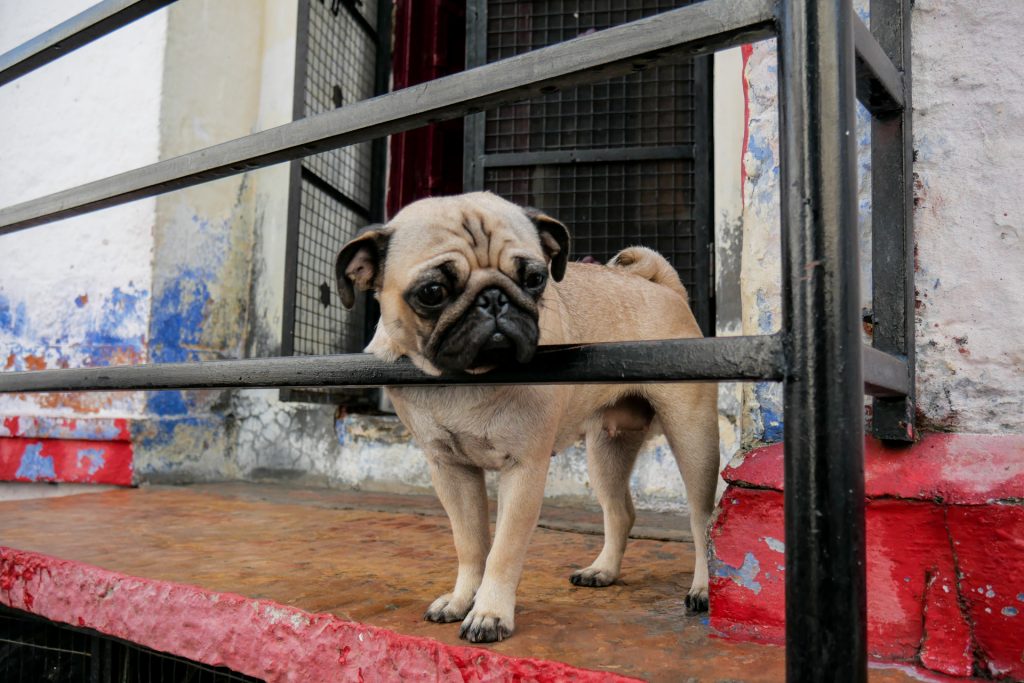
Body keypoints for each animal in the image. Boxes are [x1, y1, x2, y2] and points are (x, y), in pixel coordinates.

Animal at [337, 193, 720, 647]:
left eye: (535, 279)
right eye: (432, 292)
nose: (493, 299)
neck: (470, 379)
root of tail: (663, 287)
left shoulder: (524, 470)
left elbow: (503, 550)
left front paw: (489, 613)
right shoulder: (450, 470)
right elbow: (470, 544)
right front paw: (462, 599)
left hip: (692, 435)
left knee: (701, 517)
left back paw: (703, 588)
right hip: (605, 449)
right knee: (619, 511)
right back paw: (603, 570)